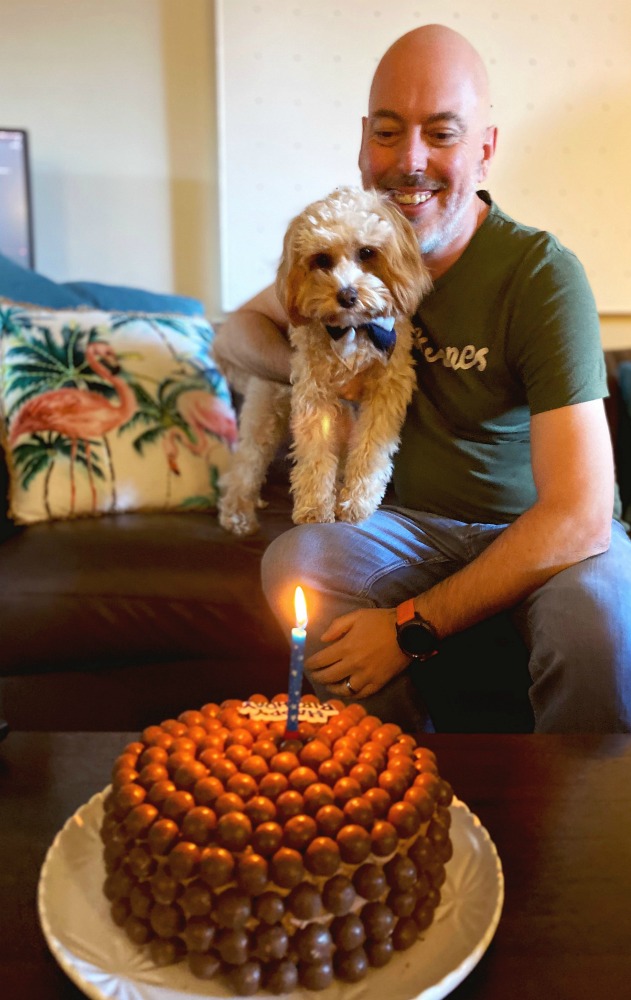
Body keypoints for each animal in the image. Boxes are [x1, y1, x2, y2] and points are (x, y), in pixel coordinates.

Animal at [220, 184, 432, 536]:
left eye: (367, 252)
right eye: (321, 259)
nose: (347, 295)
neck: (354, 330)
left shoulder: (388, 388)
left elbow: (371, 449)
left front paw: (356, 503)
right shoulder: (313, 391)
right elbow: (315, 451)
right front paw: (315, 509)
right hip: (267, 409)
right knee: (246, 463)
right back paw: (237, 514)